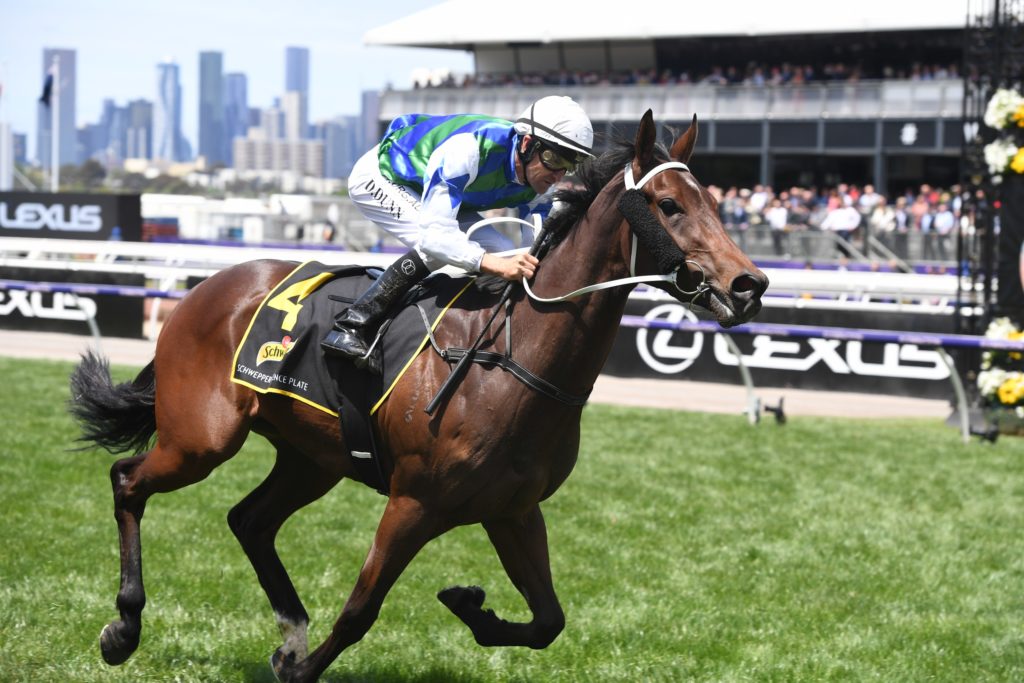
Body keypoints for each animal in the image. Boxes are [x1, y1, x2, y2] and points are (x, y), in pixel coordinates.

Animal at [68, 110, 767, 682]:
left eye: (714, 202)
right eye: (669, 205)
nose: (750, 284)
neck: (508, 361)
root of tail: (204, 289)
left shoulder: (512, 508)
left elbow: (549, 621)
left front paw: (468, 605)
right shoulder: (414, 502)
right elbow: (360, 610)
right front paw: (301, 669)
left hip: (312, 456)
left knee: (250, 520)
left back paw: (290, 632)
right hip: (202, 438)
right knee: (128, 480)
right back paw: (124, 628)